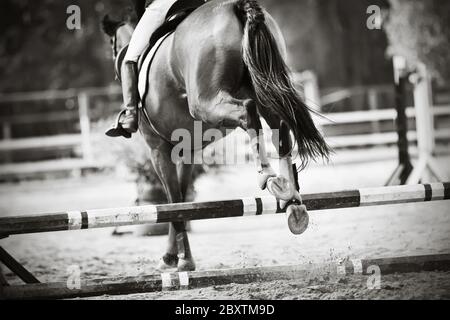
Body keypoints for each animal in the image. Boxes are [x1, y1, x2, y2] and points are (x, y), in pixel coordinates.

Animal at [101, 0, 330, 272]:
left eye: (113, 45)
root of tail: (237, 6)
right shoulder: (186, 151)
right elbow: (182, 201)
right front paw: (179, 257)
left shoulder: (158, 149)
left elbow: (173, 202)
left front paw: (175, 259)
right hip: (266, 88)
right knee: (280, 125)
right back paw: (291, 198)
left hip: (205, 103)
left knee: (248, 112)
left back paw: (267, 176)